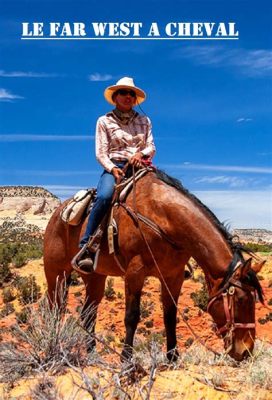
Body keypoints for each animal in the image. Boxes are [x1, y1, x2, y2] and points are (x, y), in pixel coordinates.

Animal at [44, 169, 264, 362]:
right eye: (241, 300)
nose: (246, 351)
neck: (163, 219)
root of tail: (57, 214)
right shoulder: (135, 272)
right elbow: (132, 316)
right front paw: (126, 358)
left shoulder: (173, 276)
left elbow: (170, 316)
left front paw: (173, 357)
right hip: (56, 273)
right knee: (55, 309)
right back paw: (53, 346)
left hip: (94, 276)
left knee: (88, 313)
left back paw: (91, 353)